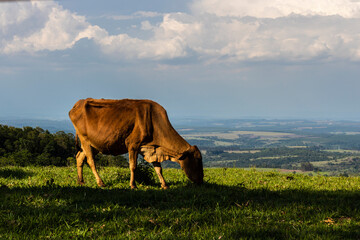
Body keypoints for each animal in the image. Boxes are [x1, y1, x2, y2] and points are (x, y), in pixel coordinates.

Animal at [67, 98, 202, 188]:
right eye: (197, 159)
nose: (201, 180)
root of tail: (78, 104)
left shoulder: (152, 148)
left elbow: (158, 168)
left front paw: (164, 185)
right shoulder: (133, 144)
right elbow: (133, 166)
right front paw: (133, 185)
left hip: (94, 144)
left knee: (79, 157)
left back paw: (81, 181)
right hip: (85, 140)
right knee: (90, 161)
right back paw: (100, 182)